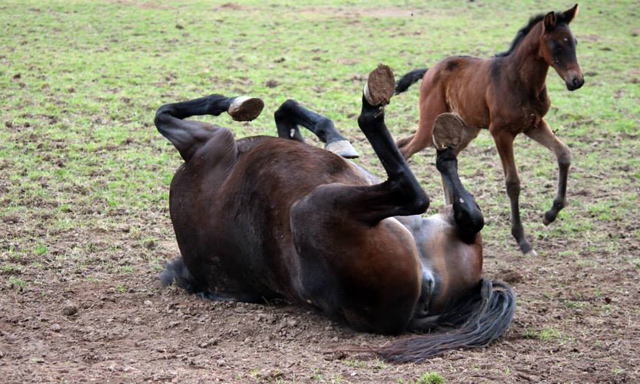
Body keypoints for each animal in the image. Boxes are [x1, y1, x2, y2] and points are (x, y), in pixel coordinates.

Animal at [392, 5, 584, 255]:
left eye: (574, 42)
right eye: (555, 45)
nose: (576, 81)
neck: (520, 80)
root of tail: (430, 70)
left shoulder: (534, 125)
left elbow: (563, 154)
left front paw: (550, 214)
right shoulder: (501, 133)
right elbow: (513, 183)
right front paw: (522, 241)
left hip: (464, 129)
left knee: (443, 158)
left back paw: (450, 210)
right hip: (429, 124)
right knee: (404, 148)